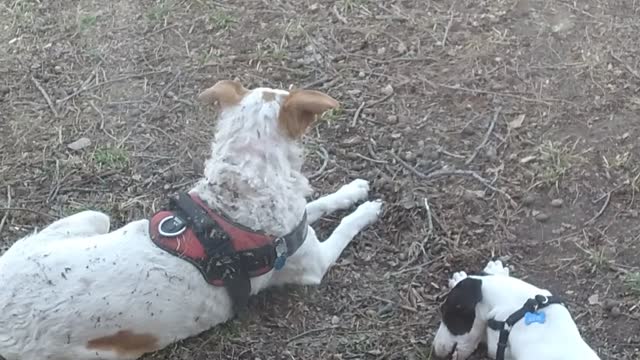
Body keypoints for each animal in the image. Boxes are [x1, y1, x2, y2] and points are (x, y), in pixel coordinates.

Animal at [0, 81, 382, 360]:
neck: (238, 191)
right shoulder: (313, 263)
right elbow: (344, 226)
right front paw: (367, 210)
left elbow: (320, 203)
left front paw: (352, 190)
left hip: (93, 218)